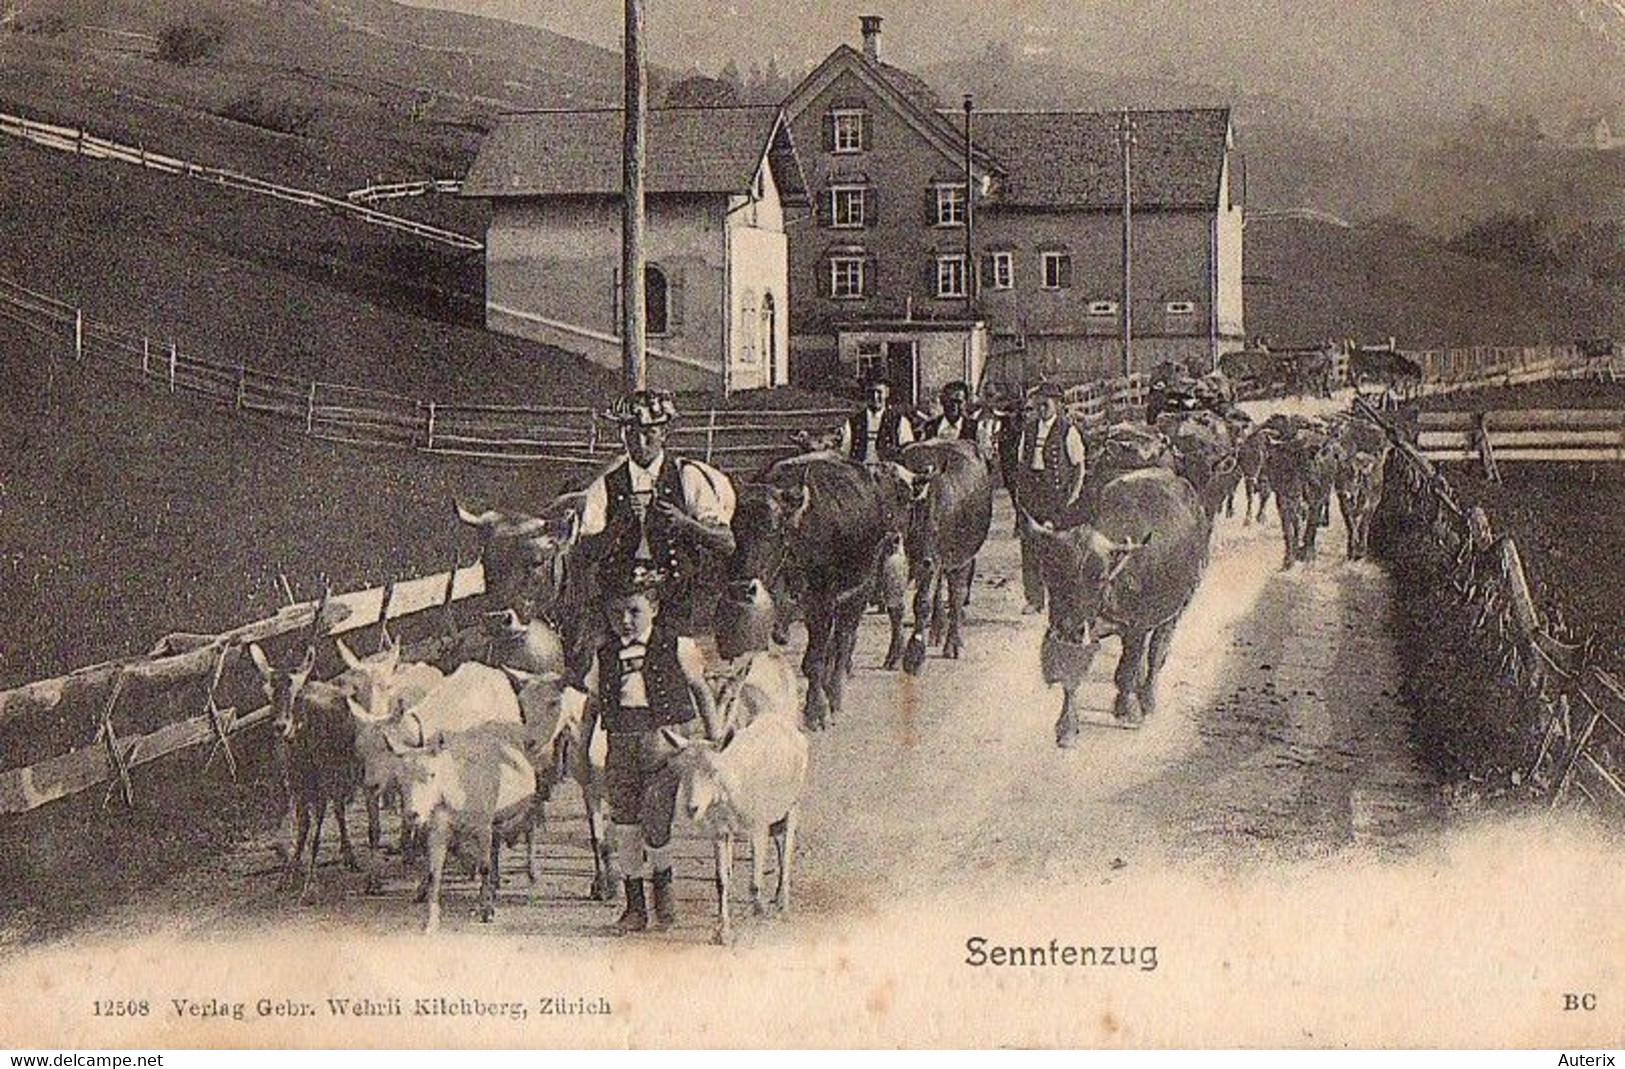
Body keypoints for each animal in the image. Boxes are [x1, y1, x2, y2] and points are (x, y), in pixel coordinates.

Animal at [734, 454, 890, 727]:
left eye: (772, 529)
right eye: (735, 527)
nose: (744, 585)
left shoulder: (822, 602)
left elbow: (813, 661)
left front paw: (815, 713)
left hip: (859, 591)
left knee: (843, 641)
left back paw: (835, 698)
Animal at [1020, 467, 1215, 750]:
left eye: (1099, 577)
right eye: (1052, 573)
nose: (1069, 628)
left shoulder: (1137, 628)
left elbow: (1127, 669)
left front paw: (1128, 710)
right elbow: (1071, 676)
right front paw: (1066, 727)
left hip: (1176, 610)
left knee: (1156, 654)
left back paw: (1147, 699)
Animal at [1261, 412, 1339, 571]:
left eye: (1299, 461)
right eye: (1277, 462)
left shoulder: (1315, 501)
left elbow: (1310, 527)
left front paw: (1308, 554)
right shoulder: (1283, 502)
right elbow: (1288, 530)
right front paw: (1288, 558)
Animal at [1326, 409, 1391, 558]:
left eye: (1357, 476)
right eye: (1340, 474)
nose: (1346, 492)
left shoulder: (1371, 504)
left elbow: (1363, 525)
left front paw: (1361, 549)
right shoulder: (1343, 503)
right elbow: (1350, 524)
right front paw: (1351, 548)